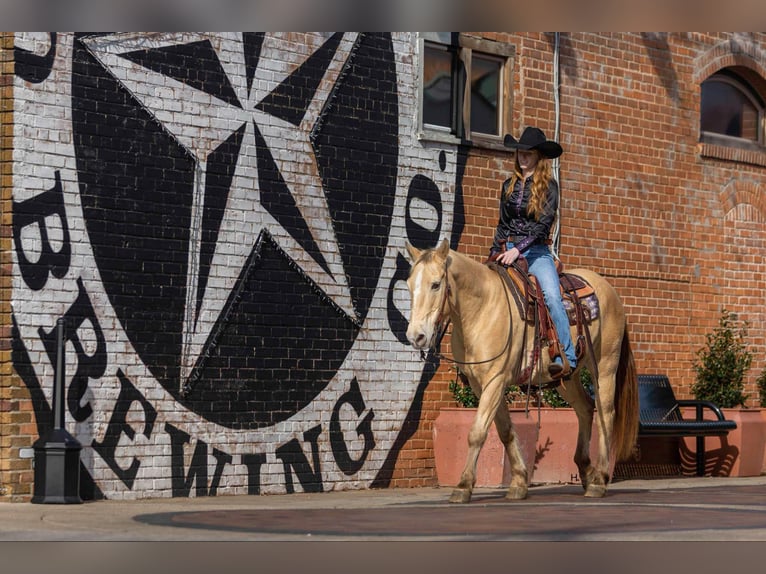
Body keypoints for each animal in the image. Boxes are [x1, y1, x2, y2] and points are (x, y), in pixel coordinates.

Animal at [404, 238, 640, 504]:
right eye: (409, 285)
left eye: (436, 284)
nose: (416, 336)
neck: (482, 309)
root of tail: (609, 290)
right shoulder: (482, 385)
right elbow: (505, 431)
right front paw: (518, 481)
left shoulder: (495, 380)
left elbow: (477, 432)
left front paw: (463, 486)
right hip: (568, 378)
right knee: (585, 409)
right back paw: (586, 471)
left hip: (605, 366)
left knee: (605, 414)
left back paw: (599, 480)